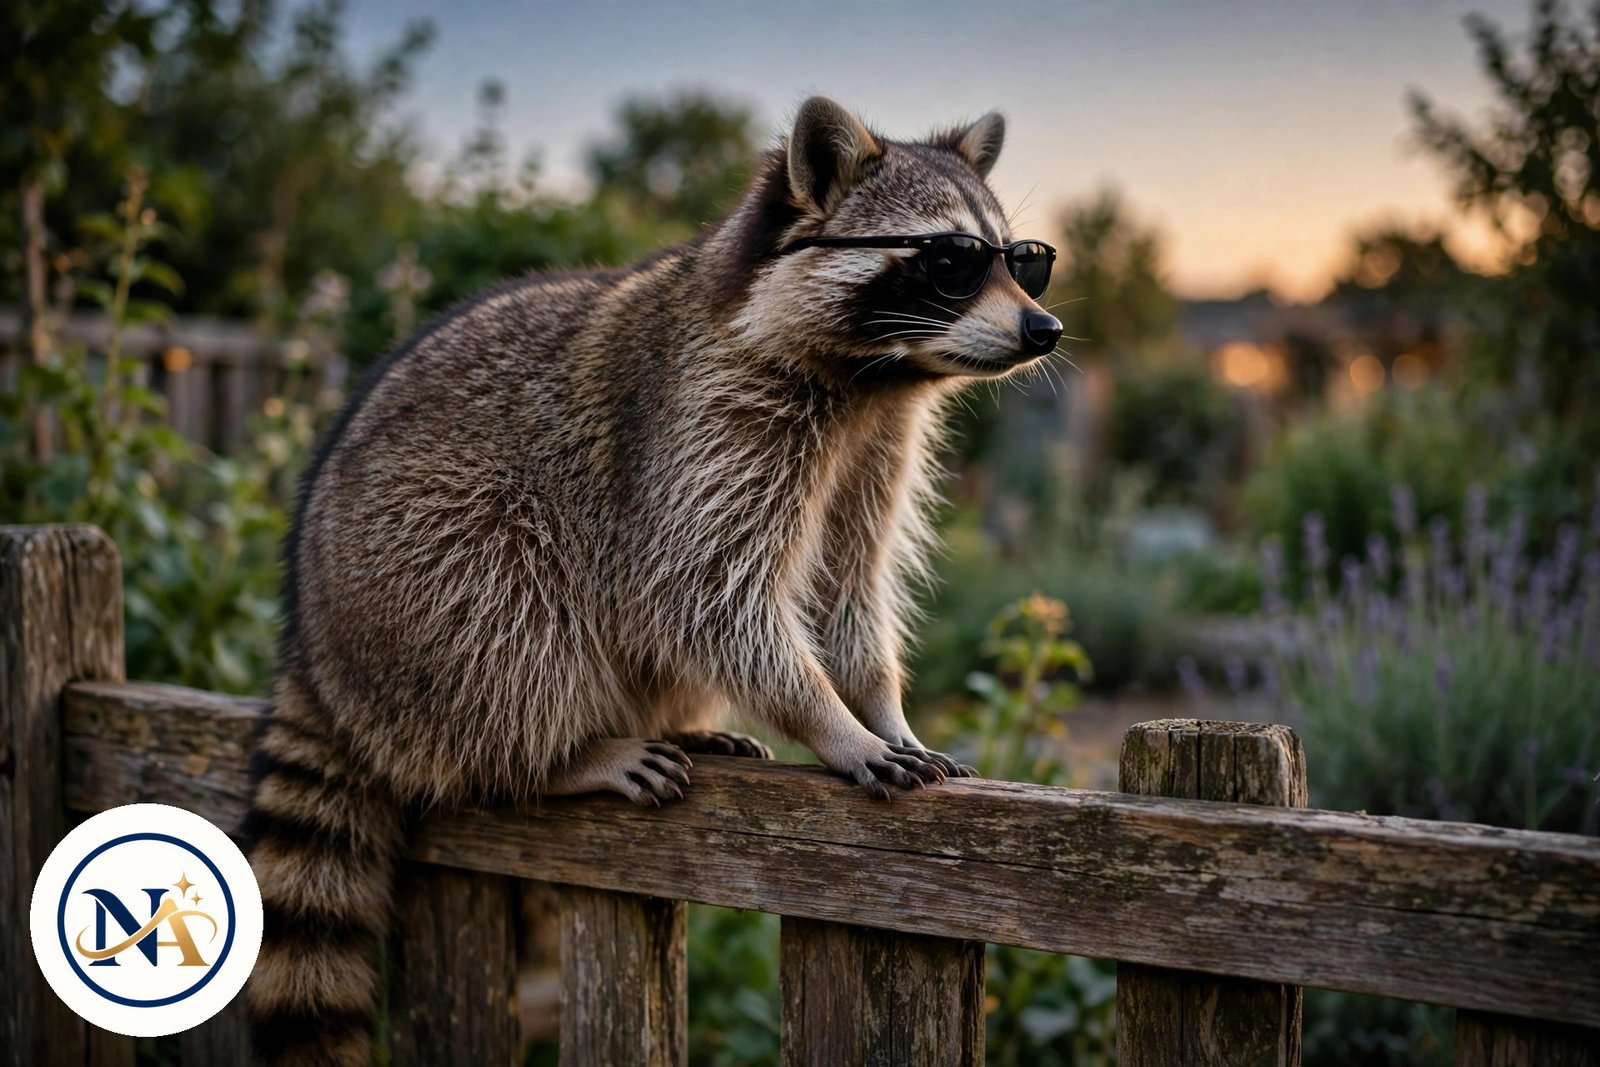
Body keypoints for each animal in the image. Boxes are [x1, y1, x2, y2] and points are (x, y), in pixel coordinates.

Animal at [243, 96, 1063, 1064]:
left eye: (1023, 261)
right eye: (949, 261)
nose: (1043, 329)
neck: (876, 379)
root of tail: (314, 649)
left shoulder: (874, 448)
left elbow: (847, 588)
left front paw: (878, 703)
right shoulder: (702, 432)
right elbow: (704, 593)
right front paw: (829, 719)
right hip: (410, 568)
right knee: (507, 608)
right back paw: (561, 753)